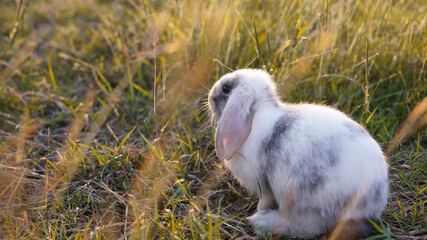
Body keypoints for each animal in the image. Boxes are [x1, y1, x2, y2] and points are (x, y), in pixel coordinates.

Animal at [209, 68, 390, 239]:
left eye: (226, 88)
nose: (210, 96)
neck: (255, 115)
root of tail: (372, 203)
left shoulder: (264, 185)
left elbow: (264, 201)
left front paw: (259, 211)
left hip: (306, 200)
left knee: (307, 226)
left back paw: (261, 222)